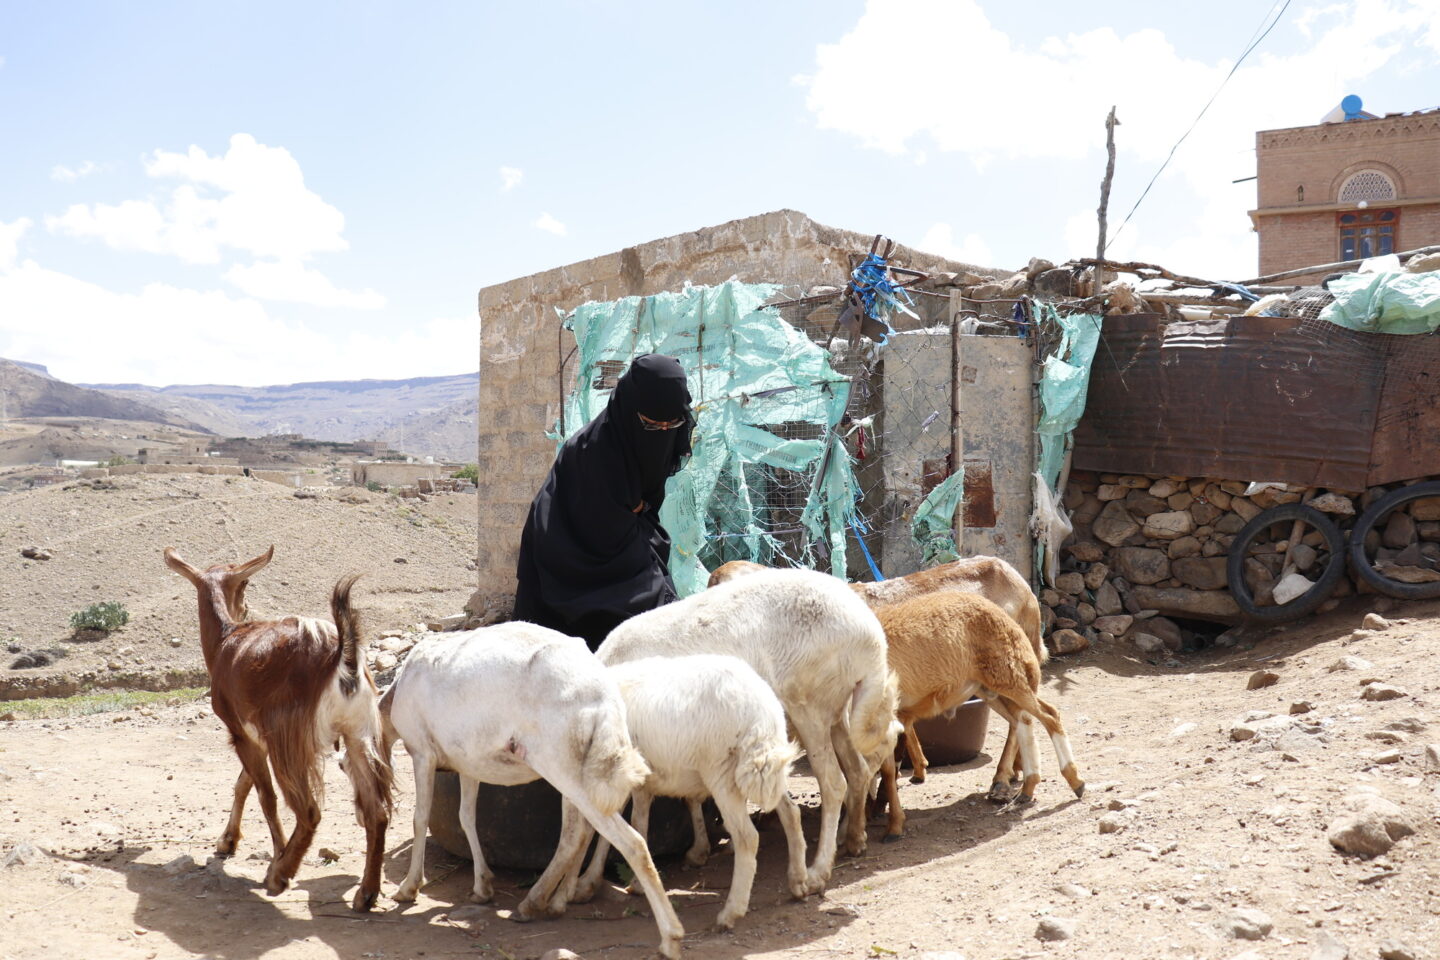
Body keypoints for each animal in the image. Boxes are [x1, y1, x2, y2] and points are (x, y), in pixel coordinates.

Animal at [163, 546, 391, 909]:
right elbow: (243, 783)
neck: (226, 642)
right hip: (358, 734)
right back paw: (366, 893)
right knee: (377, 812)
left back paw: (280, 875)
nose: (244, 608)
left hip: (293, 742)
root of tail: (342, 658)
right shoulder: (255, 738)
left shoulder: (243, 733)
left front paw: (275, 855)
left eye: (244, 582)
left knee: (309, 810)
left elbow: (263, 794)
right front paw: (227, 841)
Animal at [377, 624, 679, 960]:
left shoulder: (422, 753)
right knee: (580, 832)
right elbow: (466, 818)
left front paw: (408, 888)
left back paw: (669, 938)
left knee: (625, 842)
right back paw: (548, 902)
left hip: (563, 771)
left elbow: (420, 819)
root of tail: (603, 700)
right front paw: (482, 887)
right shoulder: (468, 765)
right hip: (582, 775)